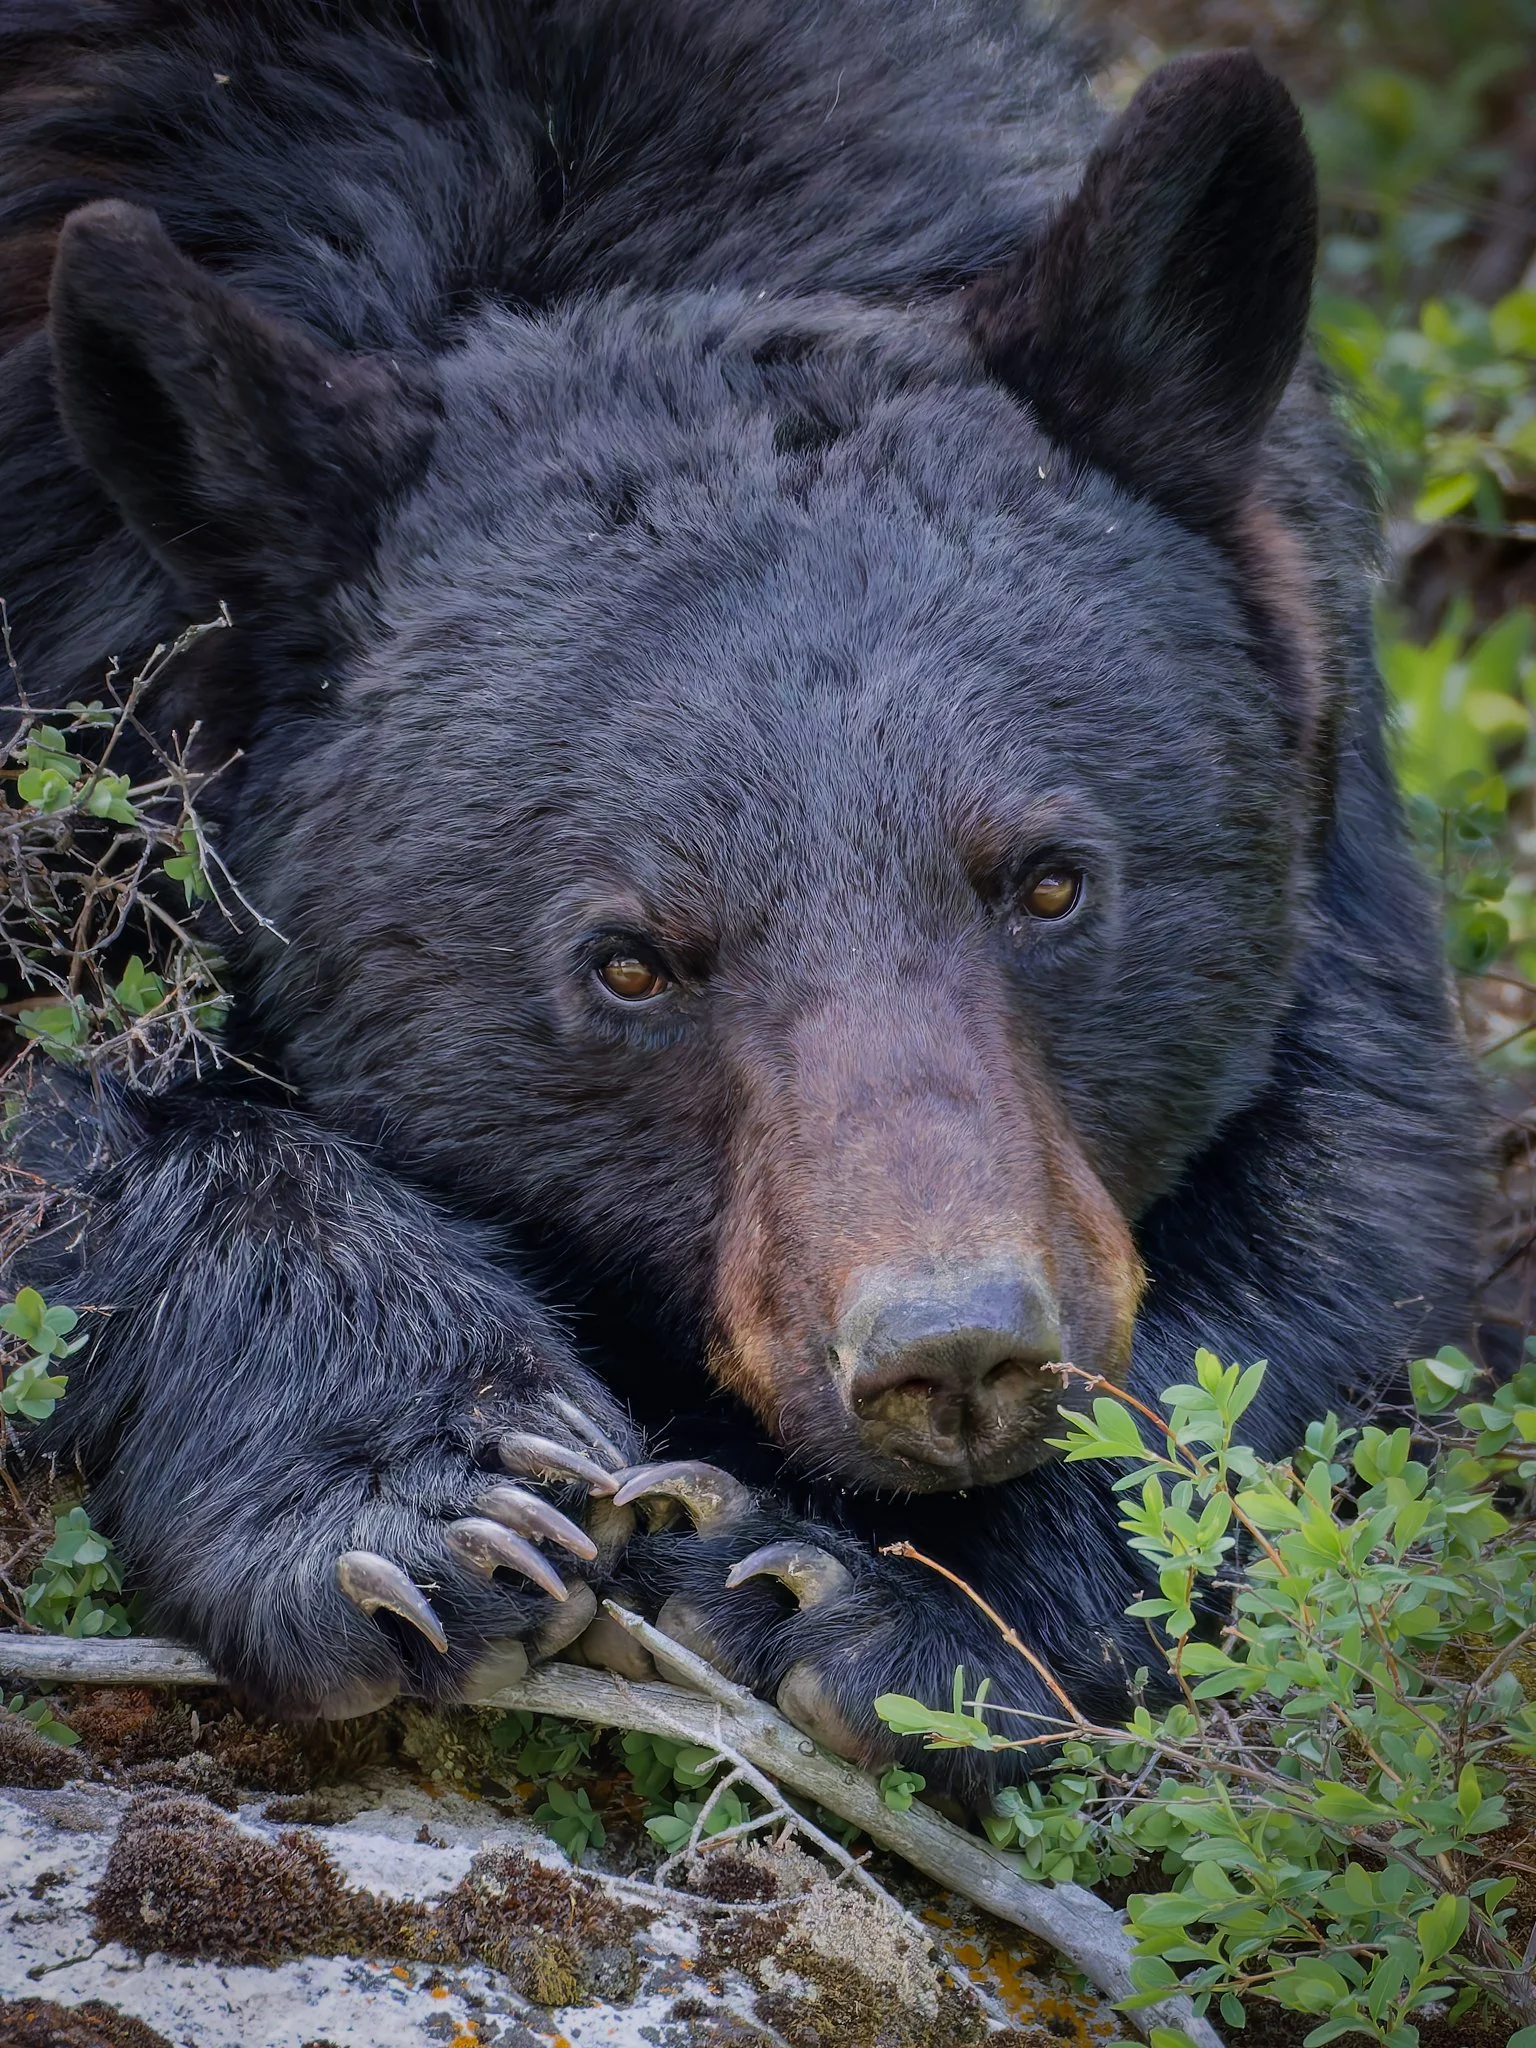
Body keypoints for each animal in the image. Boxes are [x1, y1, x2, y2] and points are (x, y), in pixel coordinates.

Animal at [0, 0, 1481, 1802]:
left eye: (1050, 881)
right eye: (630, 963)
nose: (953, 1353)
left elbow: (1345, 1206)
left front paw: (897, 1597)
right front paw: (428, 1497)